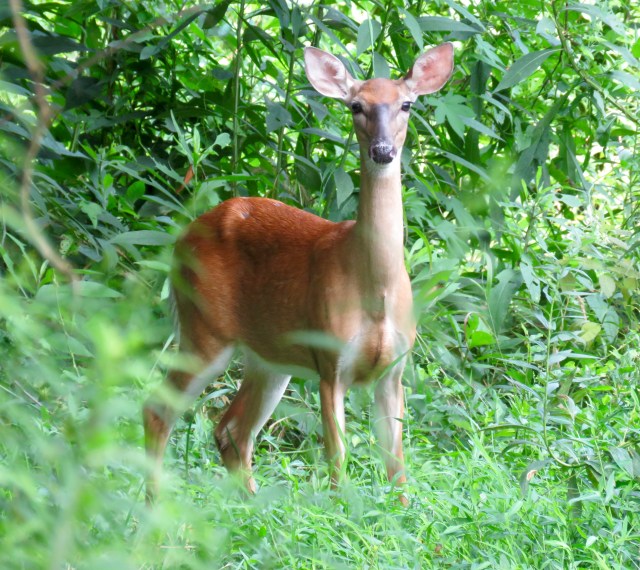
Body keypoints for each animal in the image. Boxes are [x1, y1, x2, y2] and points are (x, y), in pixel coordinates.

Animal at [143, 43, 454, 505]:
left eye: (407, 104)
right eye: (356, 106)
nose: (383, 151)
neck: (374, 291)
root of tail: (183, 237)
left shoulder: (394, 370)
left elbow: (397, 466)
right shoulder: (330, 360)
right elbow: (337, 460)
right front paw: (345, 513)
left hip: (270, 356)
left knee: (230, 428)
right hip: (205, 330)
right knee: (158, 409)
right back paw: (155, 508)